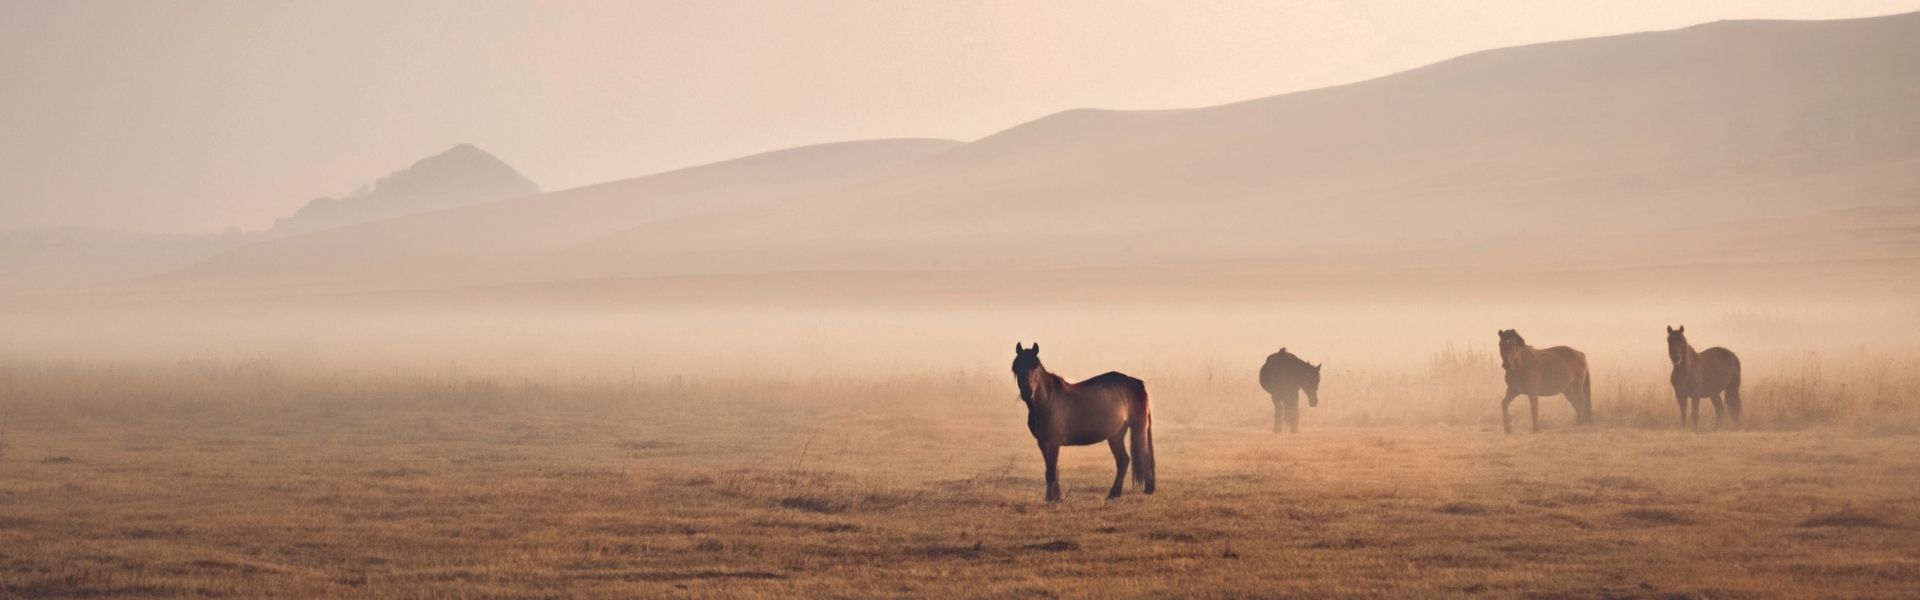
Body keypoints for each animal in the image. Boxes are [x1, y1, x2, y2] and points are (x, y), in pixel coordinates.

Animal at [1010, 343, 1155, 502]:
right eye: (1017, 367)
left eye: (1035, 367)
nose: (1027, 393)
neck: (1047, 401)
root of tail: (1137, 383)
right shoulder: (1042, 442)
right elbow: (1051, 469)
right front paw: (1055, 496)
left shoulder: (1053, 442)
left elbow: (1052, 471)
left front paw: (1051, 499)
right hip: (1116, 435)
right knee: (1123, 460)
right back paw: (1114, 493)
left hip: (1138, 428)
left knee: (1144, 455)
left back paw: (1148, 490)